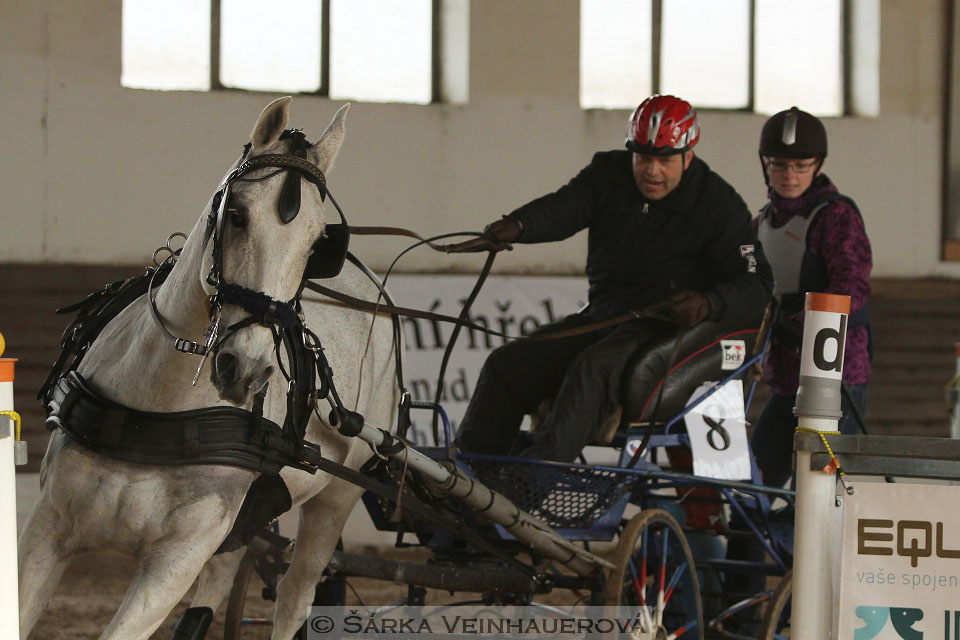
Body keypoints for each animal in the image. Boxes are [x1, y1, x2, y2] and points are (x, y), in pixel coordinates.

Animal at [19, 97, 402, 636]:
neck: (160, 407)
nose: (246, 368)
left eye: (313, 245)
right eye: (237, 215)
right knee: (221, 582)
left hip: (337, 497)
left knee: (295, 593)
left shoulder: (175, 562)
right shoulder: (47, 530)